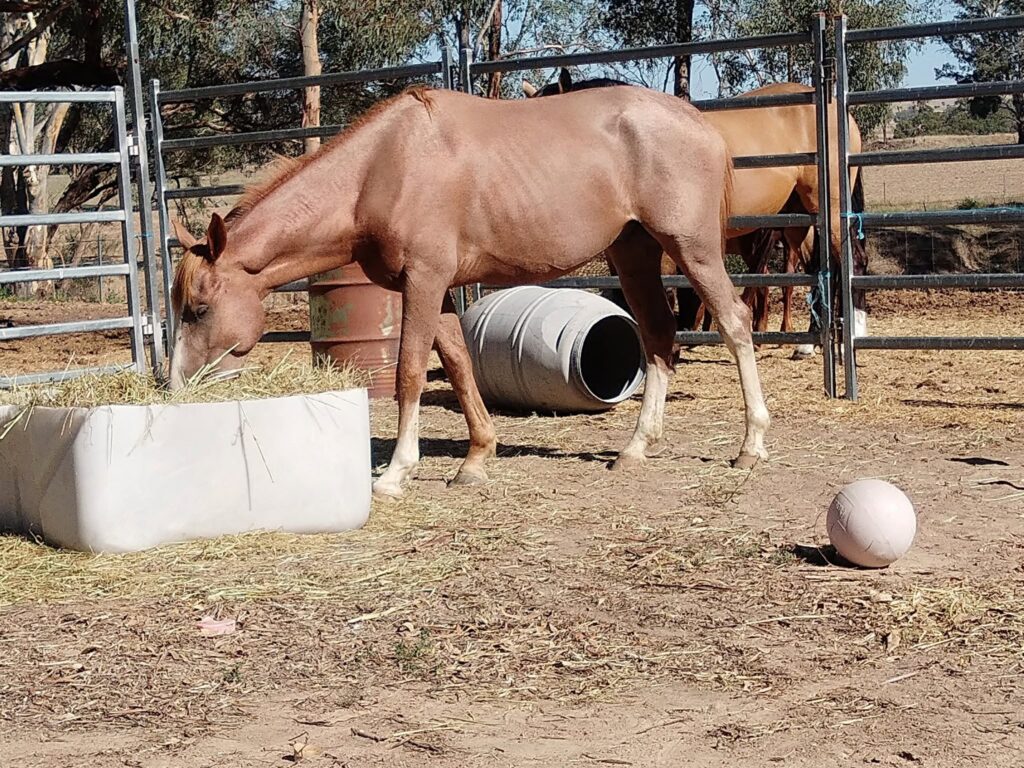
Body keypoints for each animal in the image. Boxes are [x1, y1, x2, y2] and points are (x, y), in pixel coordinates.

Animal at [168, 86, 770, 498]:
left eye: (199, 308)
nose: (175, 386)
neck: (381, 168)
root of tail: (699, 122)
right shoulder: (435, 288)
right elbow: (457, 362)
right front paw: (478, 457)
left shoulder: (424, 281)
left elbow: (411, 369)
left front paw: (396, 472)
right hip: (634, 252)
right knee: (659, 335)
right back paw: (636, 448)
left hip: (691, 247)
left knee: (735, 322)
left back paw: (751, 446)